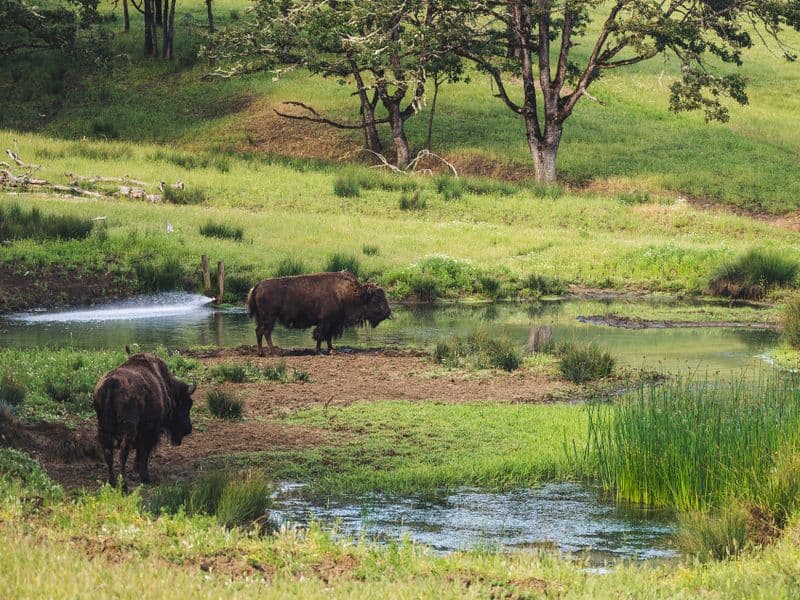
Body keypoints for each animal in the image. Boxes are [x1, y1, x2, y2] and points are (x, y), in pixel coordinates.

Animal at [93, 352, 195, 489]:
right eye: (186, 404)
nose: (188, 429)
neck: (164, 385)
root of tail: (111, 383)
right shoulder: (150, 431)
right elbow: (145, 453)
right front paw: (145, 477)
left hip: (104, 427)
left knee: (108, 452)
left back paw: (112, 483)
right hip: (129, 428)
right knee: (123, 451)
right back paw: (124, 485)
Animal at [246, 271, 392, 355]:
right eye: (376, 299)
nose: (388, 312)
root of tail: (257, 286)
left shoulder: (333, 323)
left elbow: (328, 337)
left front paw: (331, 349)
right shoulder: (326, 322)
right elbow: (320, 335)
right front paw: (319, 351)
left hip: (262, 318)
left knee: (258, 331)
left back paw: (261, 353)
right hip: (269, 318)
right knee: (266, 332)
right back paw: (273, 352)